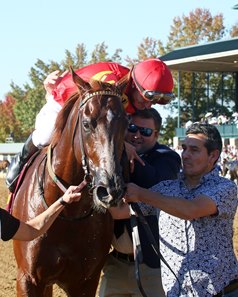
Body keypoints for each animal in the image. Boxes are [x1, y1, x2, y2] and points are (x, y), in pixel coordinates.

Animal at [11, 70, 129, 296]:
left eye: (126, 125)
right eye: (86, 124)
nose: (110, 190)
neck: (67, 214)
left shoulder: (86, 281)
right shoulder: (27, 279)